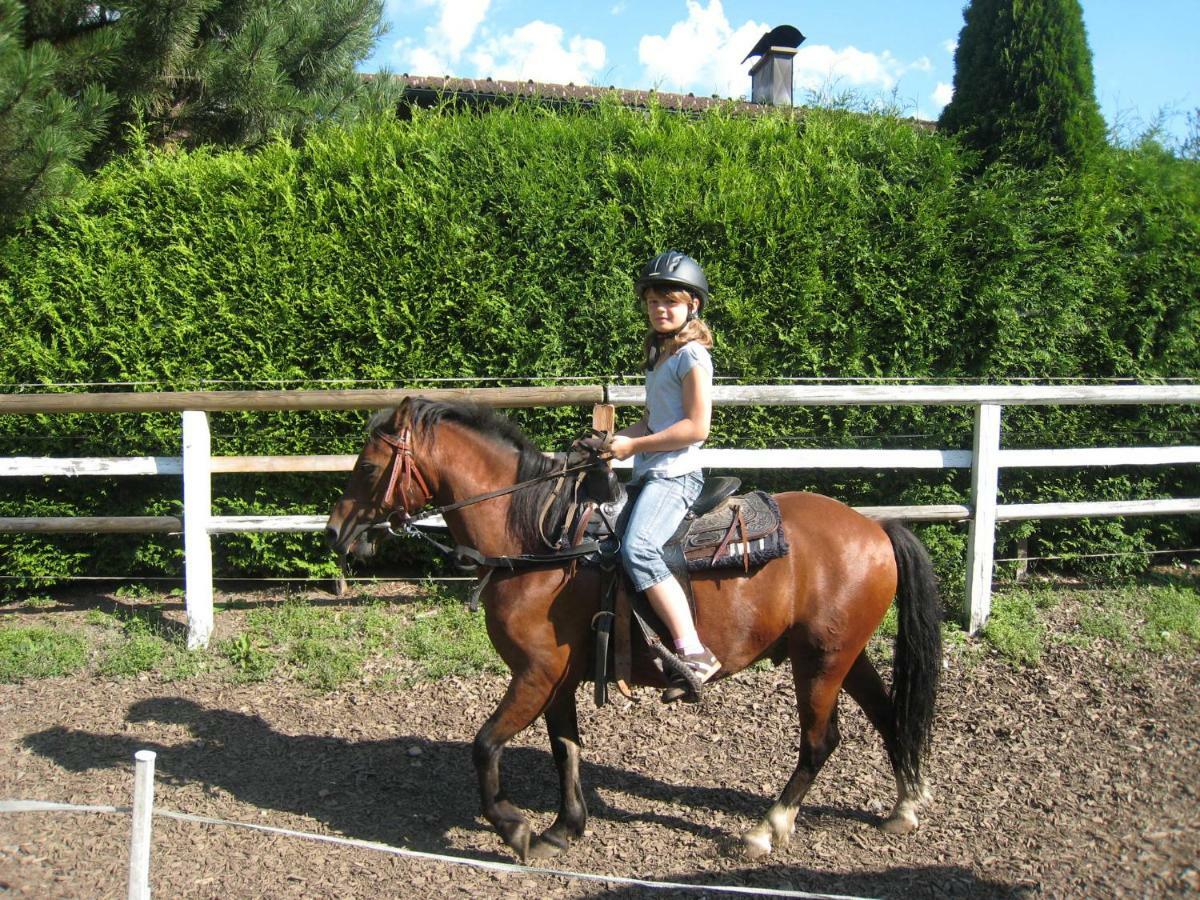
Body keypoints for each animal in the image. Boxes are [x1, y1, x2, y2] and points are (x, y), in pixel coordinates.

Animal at [324, 398, 940, 864]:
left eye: (370, 468)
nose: (335, 531)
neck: (540, 540)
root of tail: (877, 528)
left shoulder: (535, 673)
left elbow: (485, 744)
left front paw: (514, 826)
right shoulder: (557, 679)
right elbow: (565, 749)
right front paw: (562, 829)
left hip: (820, 661)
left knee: (820, 741)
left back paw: (768, 828)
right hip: (843, 654)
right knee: (888, 716)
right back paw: (905, 807)